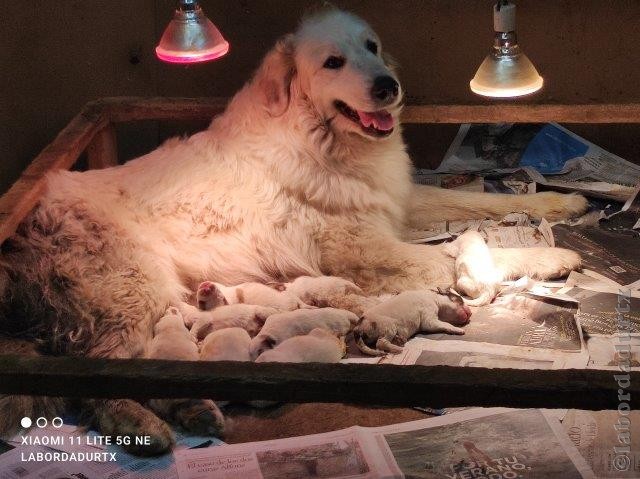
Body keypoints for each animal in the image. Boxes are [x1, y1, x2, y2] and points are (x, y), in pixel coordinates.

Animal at [0, 7, 588, 454]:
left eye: (372, 47)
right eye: (332, 62)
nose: (388, 85)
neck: (321, 140)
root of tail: (21, 234)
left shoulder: (397, 202)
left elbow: (473, 201)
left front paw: (561, 203)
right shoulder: (364, 251)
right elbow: (463, 254)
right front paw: (546, 260)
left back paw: (192, 410)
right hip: (132, 289)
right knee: (99, 378)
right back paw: (145, 423)